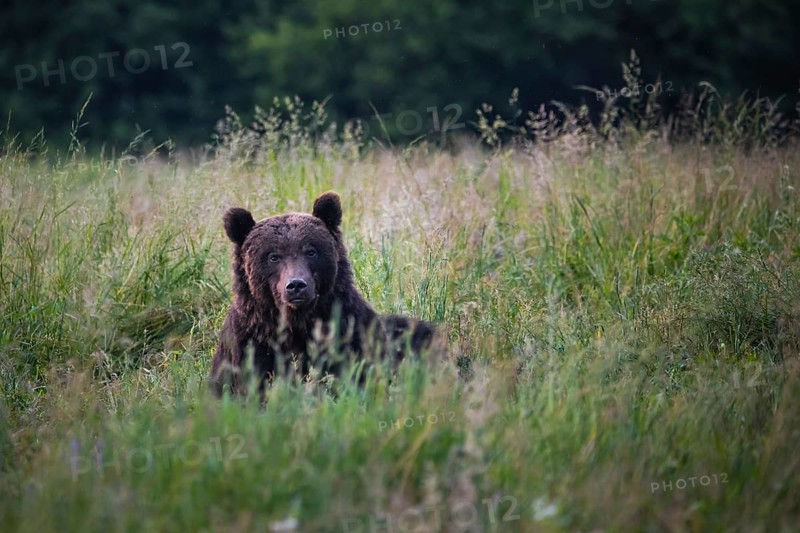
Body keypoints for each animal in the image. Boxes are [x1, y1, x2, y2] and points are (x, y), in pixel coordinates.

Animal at [210, 191, 440, 396]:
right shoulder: (249, 342)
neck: (299, 323)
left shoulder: (351, 332)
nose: (296, 285)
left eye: (311, 251)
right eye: (273, 256)